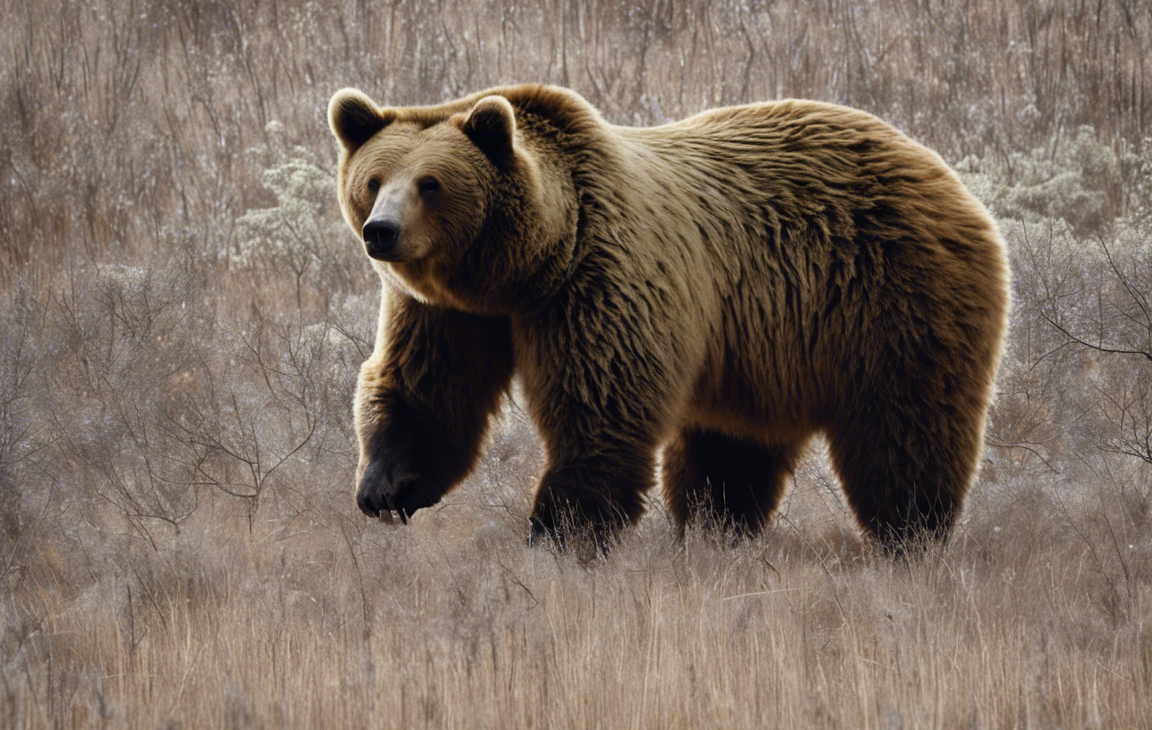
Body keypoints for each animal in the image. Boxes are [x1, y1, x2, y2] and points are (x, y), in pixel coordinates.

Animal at [327, 84, 1009, 550]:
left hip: (892, 298)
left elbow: (602, 404)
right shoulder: (451, 311)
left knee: (905, 429)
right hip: (761, 351)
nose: (381, 231)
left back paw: (909, 534)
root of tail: (938, 168)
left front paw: (560, 528)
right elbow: (427, 387)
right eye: (374, 179)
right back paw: (716, 530)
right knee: (728, 451)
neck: (526, 266)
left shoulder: (601, 278)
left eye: (432, 183)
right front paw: (386, 486)